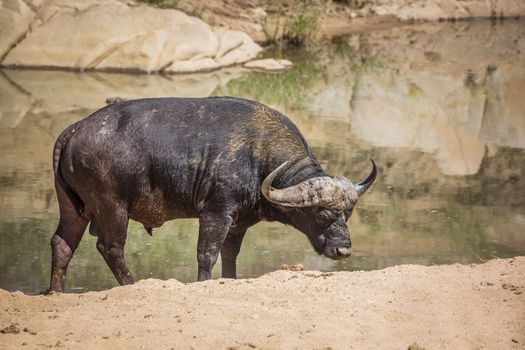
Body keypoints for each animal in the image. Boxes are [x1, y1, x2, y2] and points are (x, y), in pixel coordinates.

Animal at [49, 97, 374, 292]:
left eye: (348, 214)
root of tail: (77, 128)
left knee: (62, 243)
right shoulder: (215, 213)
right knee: (111, 247)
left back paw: (55, 291)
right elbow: (207, 254)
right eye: (323, 213)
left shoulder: (238, 223)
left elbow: (230, 256)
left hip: (75, 209)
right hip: (113, 208)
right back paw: (131, 283)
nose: (343, 251)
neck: (259, 155)